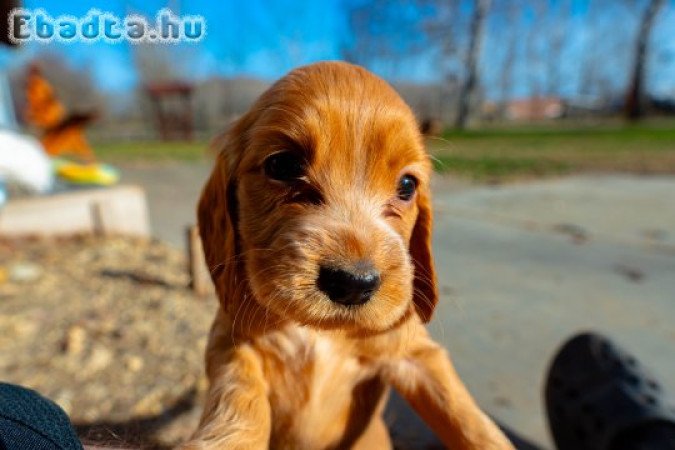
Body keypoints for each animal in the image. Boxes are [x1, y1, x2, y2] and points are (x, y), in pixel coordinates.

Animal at [180, 60, 512, 450]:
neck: (320, 333)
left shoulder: (415, 354)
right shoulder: (229, 342)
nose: (354, 284)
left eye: (407, 185)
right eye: (283, 166)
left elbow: (465, 415)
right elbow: (239, 398)